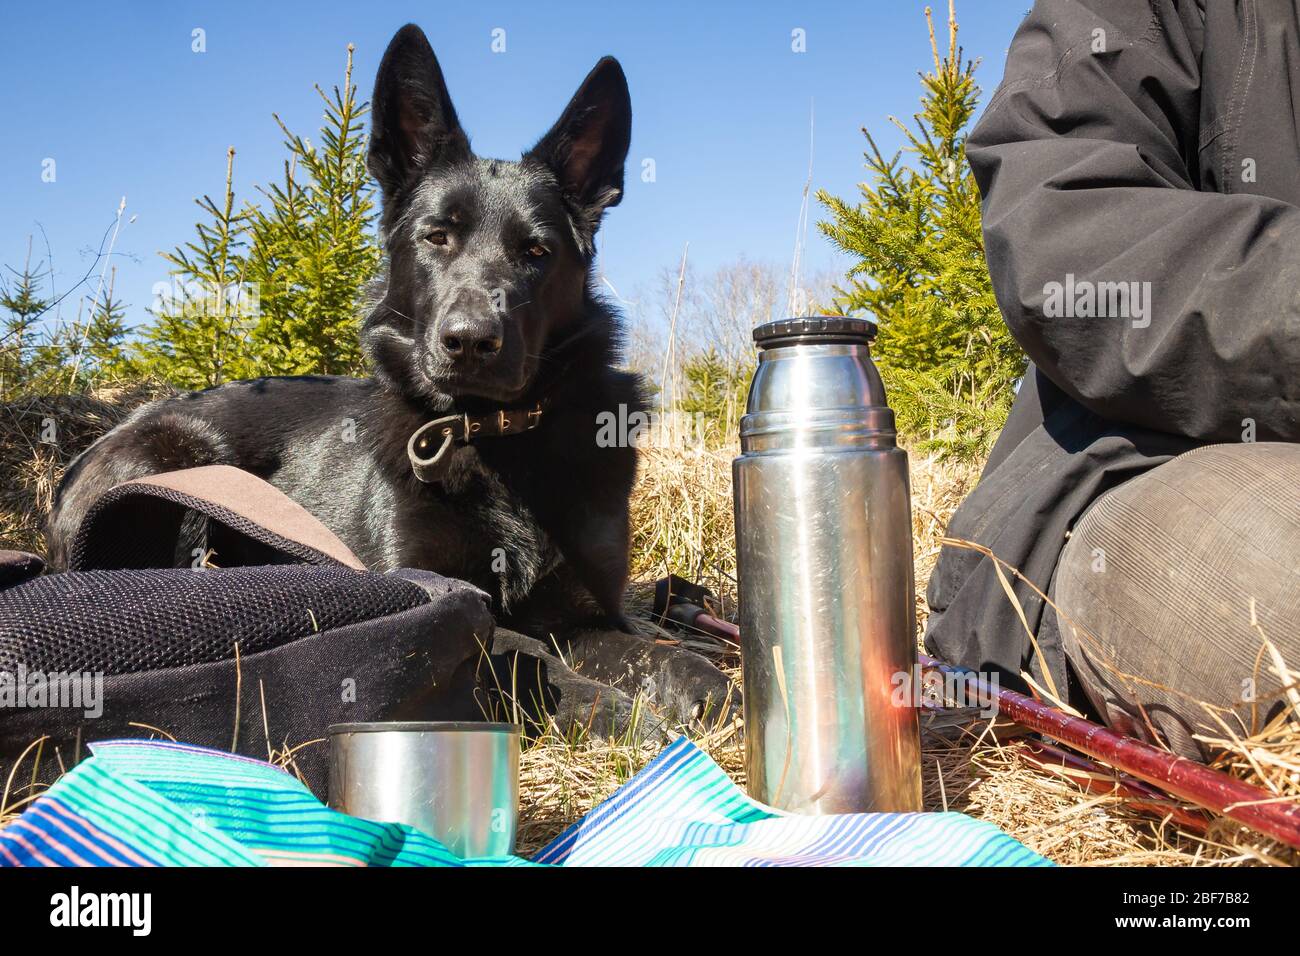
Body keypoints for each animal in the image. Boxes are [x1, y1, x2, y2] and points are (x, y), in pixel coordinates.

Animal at [47, 22, 644, 634]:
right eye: (437, 237)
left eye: (536, 252)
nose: (470, 341)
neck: (489, 432)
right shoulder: (431, 587)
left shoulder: (599, 612)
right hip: (180, 463)